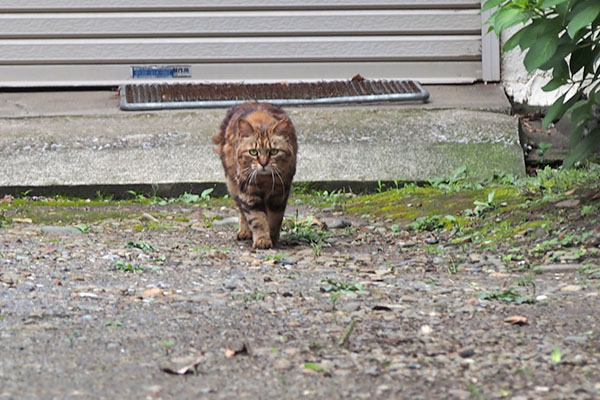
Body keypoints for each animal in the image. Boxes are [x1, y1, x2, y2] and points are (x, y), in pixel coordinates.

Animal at [214, 101, 298, 248]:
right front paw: (262, 239)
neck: (265, 180)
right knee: (242, 211)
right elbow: (257, 219)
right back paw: (244, 231)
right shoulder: (248, 192)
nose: (263, 163)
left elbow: (274, 219)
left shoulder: (279, 194)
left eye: (274, 151)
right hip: (233, 186)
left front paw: (272, 237)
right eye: (253, 152)